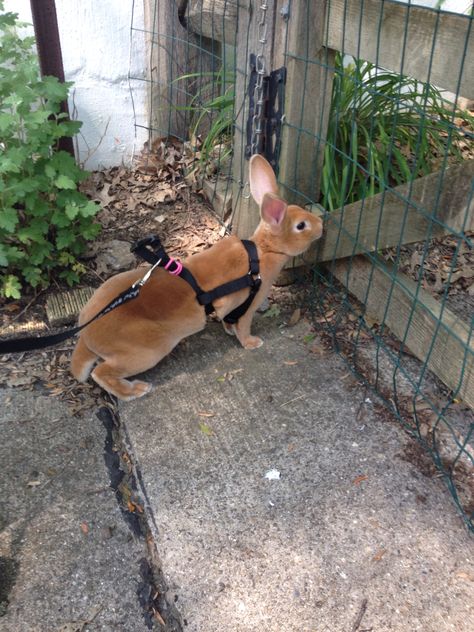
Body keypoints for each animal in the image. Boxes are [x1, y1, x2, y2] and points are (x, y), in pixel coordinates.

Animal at [70, 154, 322, 400]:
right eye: (301, 226)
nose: (321, 224)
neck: (263, 252)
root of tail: (87, 335)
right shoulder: (247, 307)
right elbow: (243, 327)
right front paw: (252, 343)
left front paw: (229, 330)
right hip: (148, 350)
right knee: (101, 373)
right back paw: (136, 390)